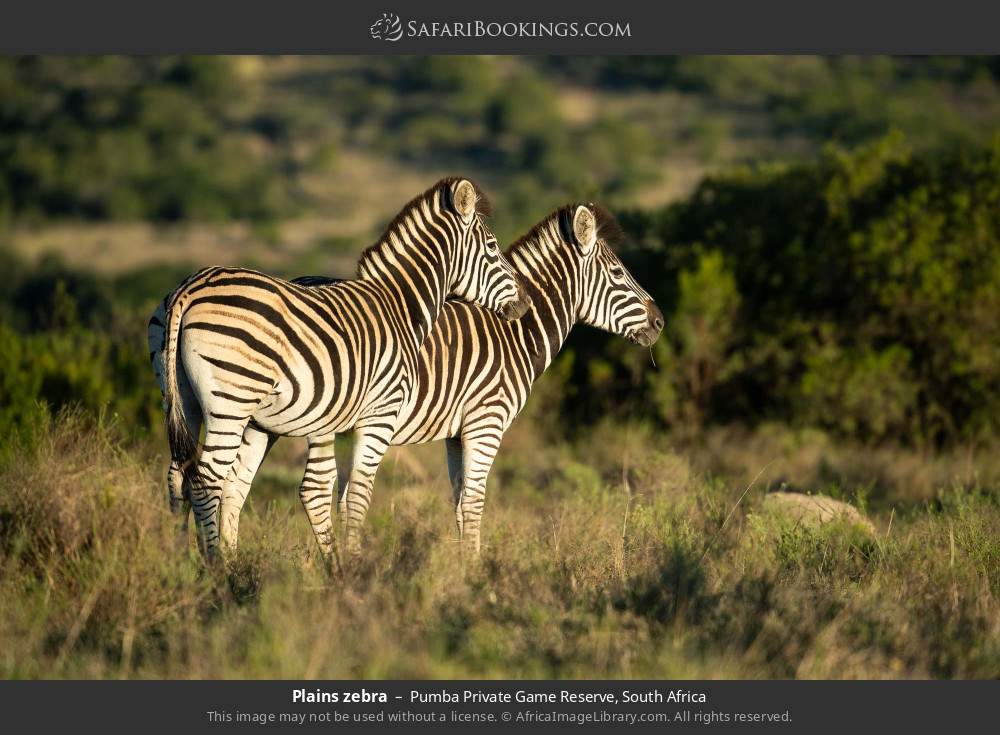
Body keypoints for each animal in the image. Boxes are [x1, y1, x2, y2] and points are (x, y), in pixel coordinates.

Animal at [147, 178, 531, 561]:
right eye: (493, 246)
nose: (525, 304)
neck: (400, 307)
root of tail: (188, 290)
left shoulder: (348, 421)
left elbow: (344, 495)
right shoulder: (380, 413)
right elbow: (358, 493)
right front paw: (354, 566)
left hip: (183, 399)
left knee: (178, 475)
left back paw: (180, 560)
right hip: (231, 401)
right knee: (206, 479)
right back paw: (218, 566)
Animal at [190, 203, 663, 555]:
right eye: (619, 273)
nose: (660, 322)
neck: (517, 333)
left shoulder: (457, 433)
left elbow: (458, 502)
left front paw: (462, 569)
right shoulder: (487, 423)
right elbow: (475, 502)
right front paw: (474, 576)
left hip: (262, 420)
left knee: (234, 487)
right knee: (300, 487)